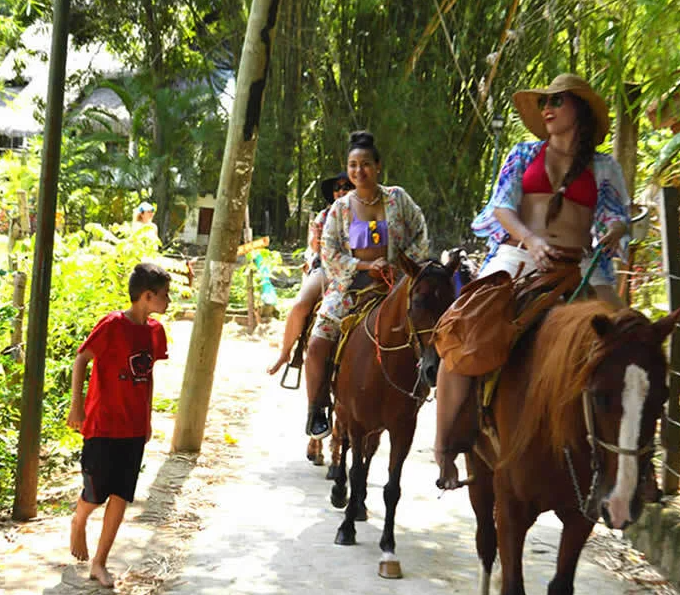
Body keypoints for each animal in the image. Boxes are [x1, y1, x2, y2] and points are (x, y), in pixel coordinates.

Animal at [330, 250, 468, 576]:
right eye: (417, 301)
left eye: (452, 301)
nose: (434, 369)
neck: (382, 365)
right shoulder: (357, 420)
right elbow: (355, 469)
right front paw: (346, 529)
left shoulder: (403, 429)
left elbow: (392, 487)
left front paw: (388, 547)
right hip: (344, 411)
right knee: (344, 446)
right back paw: (341, 493)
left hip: (377, 427)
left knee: (368, 455)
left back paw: (360, 505)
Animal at [452, 302, 680, 595]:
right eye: (599, 396)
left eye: (662, 397)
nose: (620, 502)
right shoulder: (511, 509)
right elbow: (512, 581)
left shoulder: (582, 516)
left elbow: (560, 583)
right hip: (479, 470)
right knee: (486, 541)